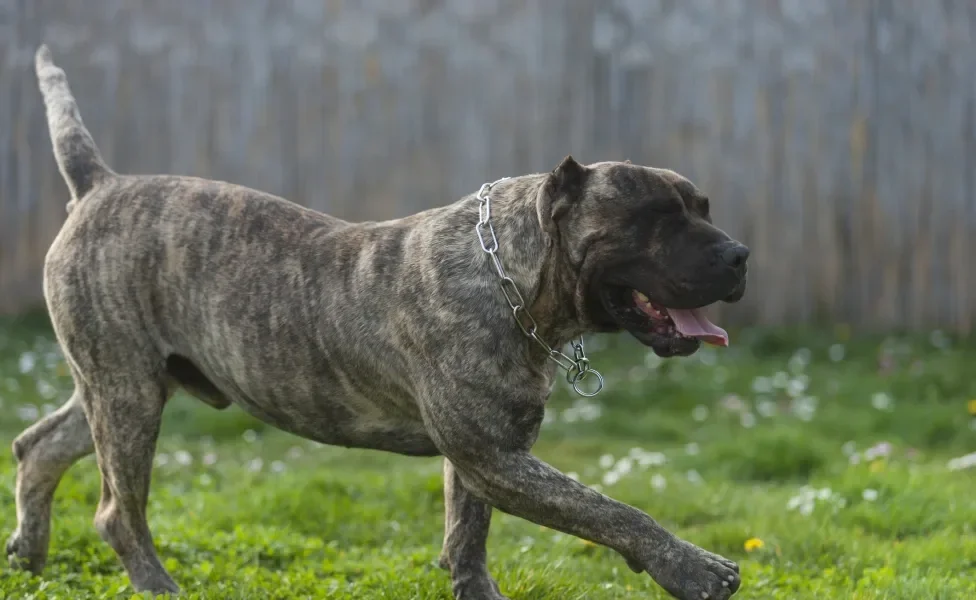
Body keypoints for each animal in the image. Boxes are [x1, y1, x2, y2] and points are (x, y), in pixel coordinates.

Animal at [7, 47, 752, 600]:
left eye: (704, 208)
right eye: (655, 218)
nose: (740, 254)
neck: (509, 273)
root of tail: (100, 184)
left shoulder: (487, 455)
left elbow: (467, 538)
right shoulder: (496, 457)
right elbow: (610, 508)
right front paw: (691, 566)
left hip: (122, 384)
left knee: (39, 446)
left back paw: (29, 554)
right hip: (128, 394)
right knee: (117, 511)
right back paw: (156, 584)